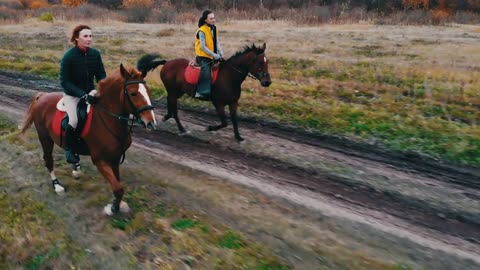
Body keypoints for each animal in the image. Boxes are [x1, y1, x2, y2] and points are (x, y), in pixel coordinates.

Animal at [20, 54, 158, 215]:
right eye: (133, 93)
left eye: (149, 91)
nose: (151, 122)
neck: (108, 120)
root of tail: (42, 96)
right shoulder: (100, 160)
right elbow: (118, 188)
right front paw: (112, 208)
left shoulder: (115, 158)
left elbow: (117, 184)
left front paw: (118, 204)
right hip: (45, 137)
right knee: (48, 161)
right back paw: (57, 186)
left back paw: (76, 168)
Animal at [142, 42, 272, 141]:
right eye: (260, 63)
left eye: (267, 62)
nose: (267, 82)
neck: (229, 77)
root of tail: (167, 62)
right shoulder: (218, 103)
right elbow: (224, 122)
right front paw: (208, 128)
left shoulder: (233, 103)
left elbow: (234, 120)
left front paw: (239, 137)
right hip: (173, 91)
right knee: (174, 109)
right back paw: (181, 129)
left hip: (178, 91)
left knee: (169, 101)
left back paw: (166, 117)